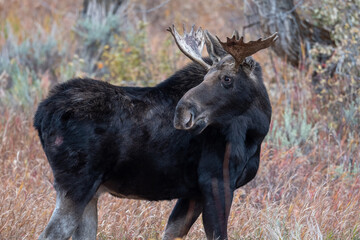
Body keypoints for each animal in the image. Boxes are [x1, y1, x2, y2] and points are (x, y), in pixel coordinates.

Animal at [34, 24, 276, 240]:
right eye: (205, 77)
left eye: (227, 78)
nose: (182, 112)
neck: (256, 131)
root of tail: (41, 116)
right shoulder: (216, 181)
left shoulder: (194, 192)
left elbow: (171, 232)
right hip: (77, 184)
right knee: (52, 233)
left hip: (90, 191)